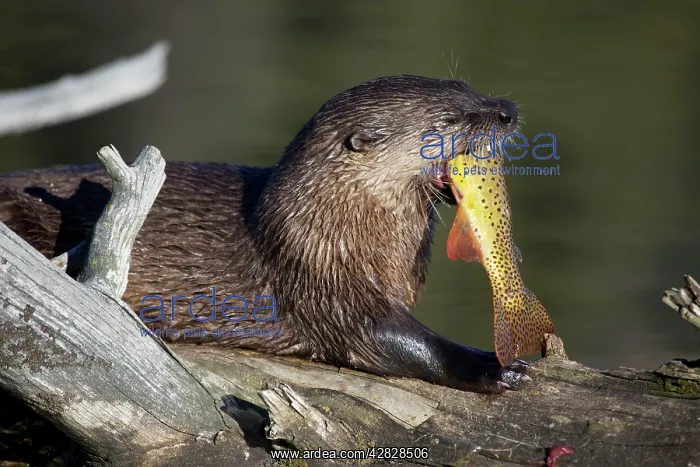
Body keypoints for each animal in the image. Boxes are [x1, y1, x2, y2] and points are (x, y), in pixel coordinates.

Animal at [0, 75, 526, 394]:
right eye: (449, 120)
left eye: (470, 90)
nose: (506, 109)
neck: (330, 224)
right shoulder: (321, 279)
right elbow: (394, 340)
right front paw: (496, 367)